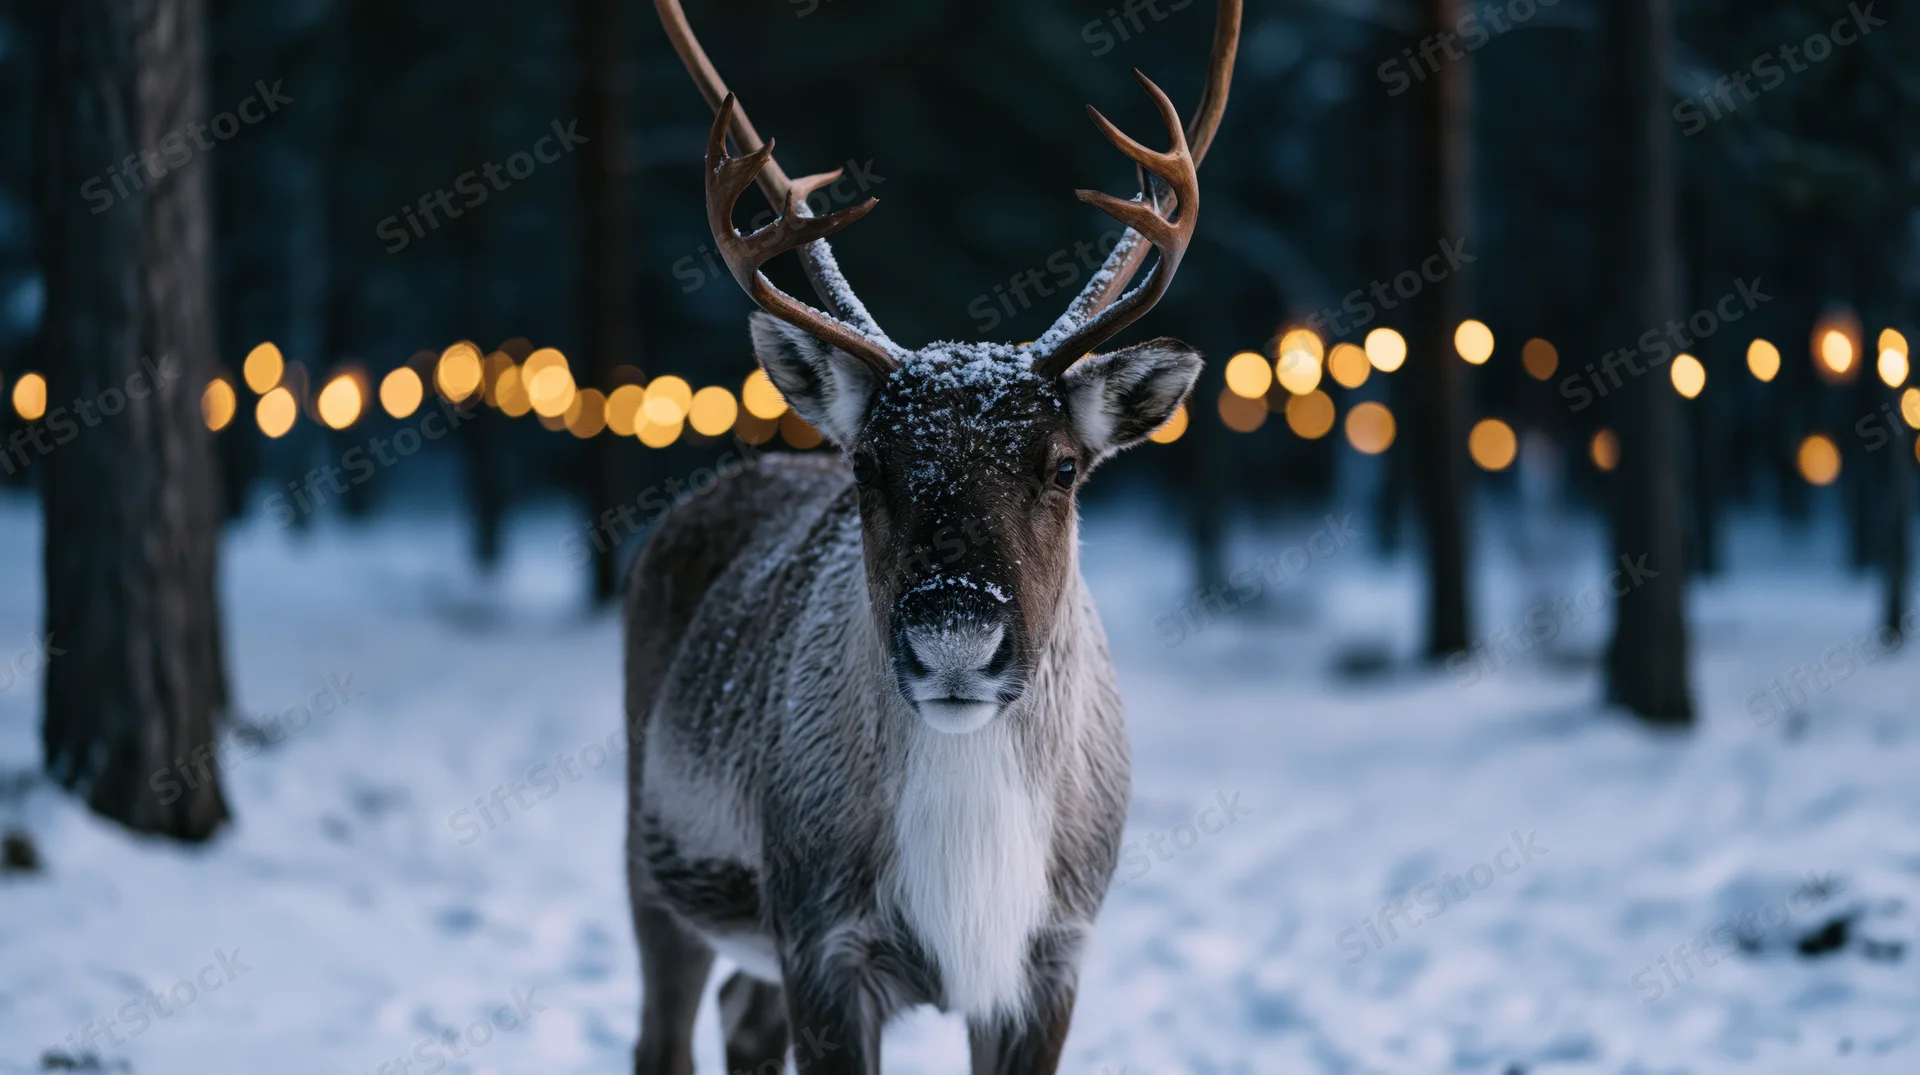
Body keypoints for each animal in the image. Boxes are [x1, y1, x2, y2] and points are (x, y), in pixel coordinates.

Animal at [625, 2, 1239, 1072]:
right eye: (868, 463)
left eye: (1064, 465)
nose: (957, 638)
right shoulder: (824, 941)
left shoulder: (1051, 956)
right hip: (652, 864)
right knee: (661, 1038)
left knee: (742, 1023)